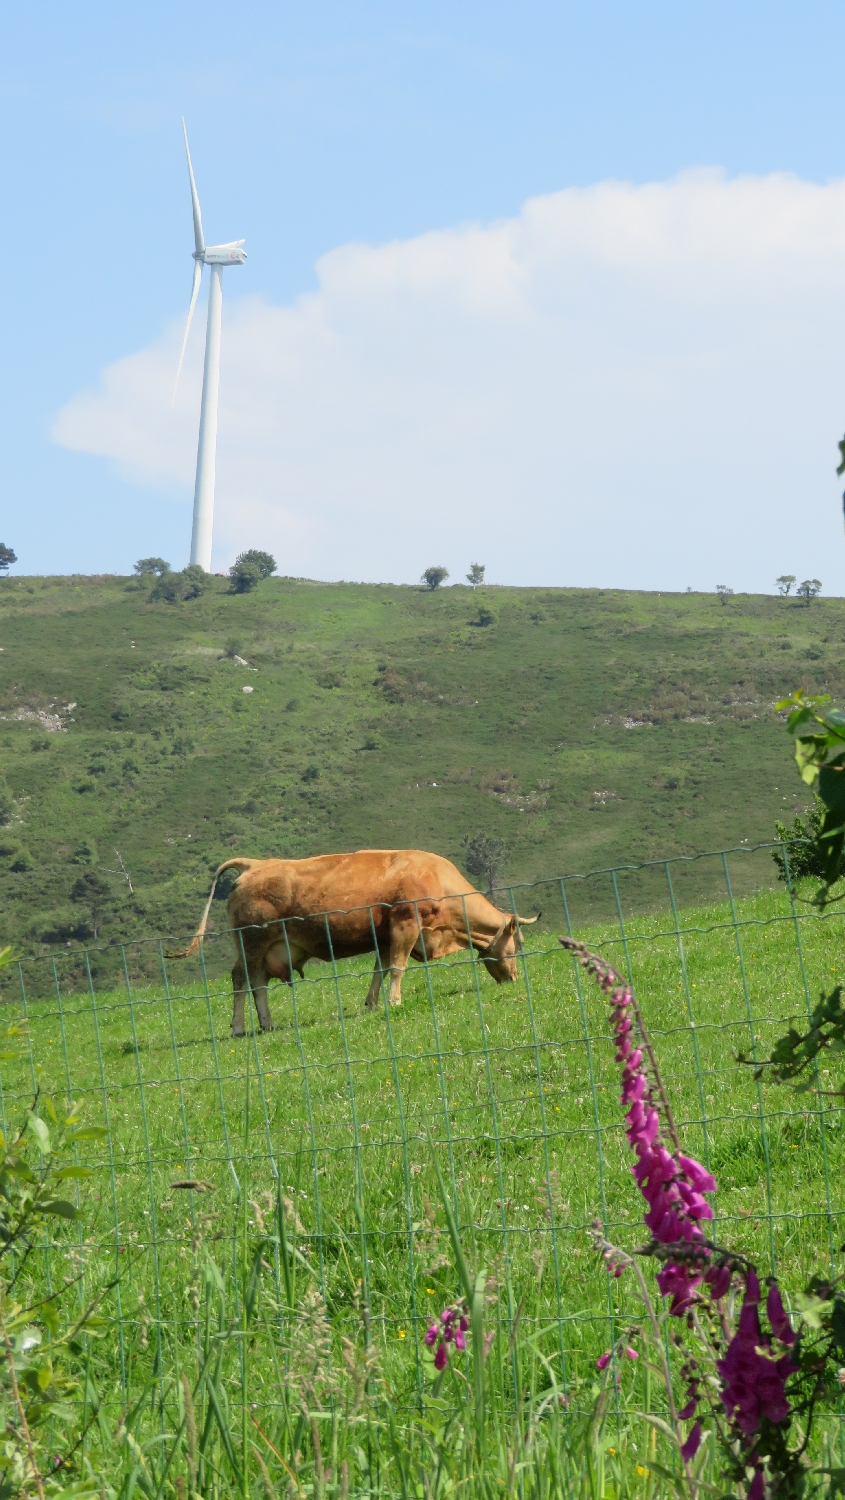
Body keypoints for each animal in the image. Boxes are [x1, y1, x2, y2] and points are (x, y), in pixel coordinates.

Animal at [172, 852, 543, 1038]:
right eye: (519, 943)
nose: (513, 978)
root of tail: (256, 864)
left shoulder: (385, 936)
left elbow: (380, 970)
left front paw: (372, 1004)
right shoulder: (405, 926)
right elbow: (397, 969)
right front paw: (394, 1002)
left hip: (265, 947)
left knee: (256, 982)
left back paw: (267, 1024)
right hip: (252, 942)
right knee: (243, 981)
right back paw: (240, 1027)